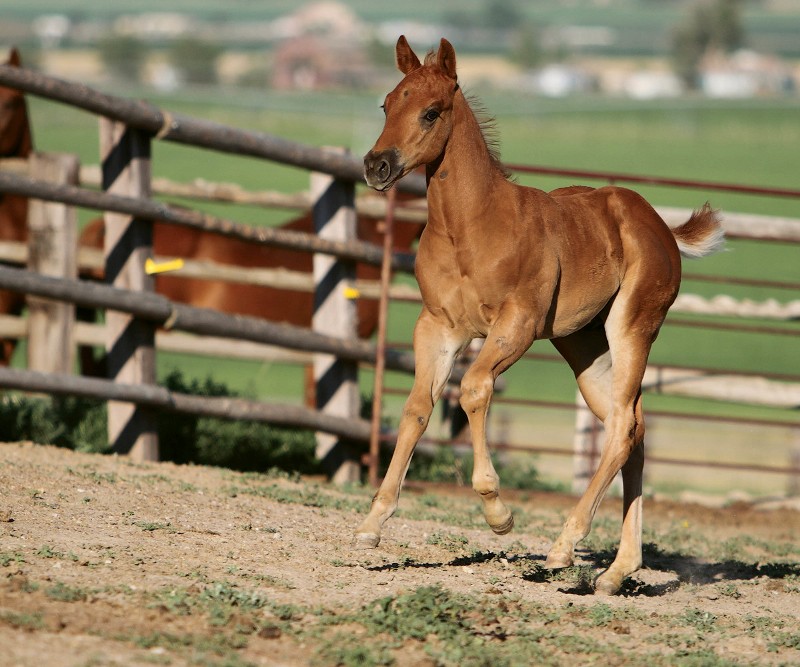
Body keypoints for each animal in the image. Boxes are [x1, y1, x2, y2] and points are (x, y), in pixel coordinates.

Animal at [356, 36, 724, 596]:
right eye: (385, 105)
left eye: (431, 112)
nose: (377, 166)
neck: (470, 227)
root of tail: (660, 225)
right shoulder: (437, 326)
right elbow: (418, 407)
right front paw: (373, 523)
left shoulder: (517, 325)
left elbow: (473, 390)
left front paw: (498, 513)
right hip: (584, 348)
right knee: (633, 427)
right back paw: (617, 571)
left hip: (632, 327)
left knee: (622, 425)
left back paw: (565, 545)